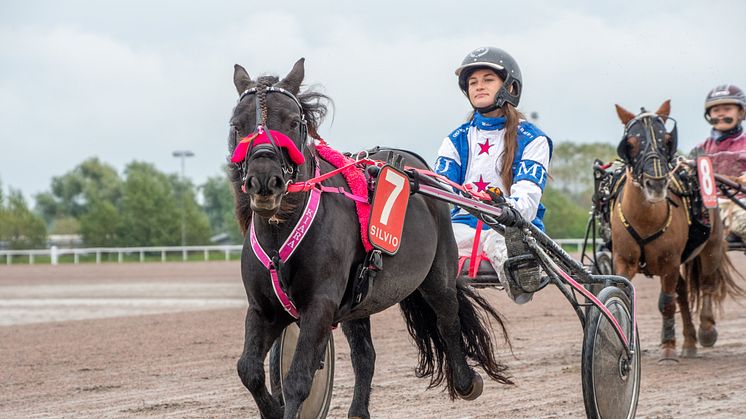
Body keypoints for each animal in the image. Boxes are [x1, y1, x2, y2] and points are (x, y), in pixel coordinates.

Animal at [231, 57, 512, 418]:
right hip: (357, 304)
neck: (281, 236)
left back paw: (466, 381)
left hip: (439, 273)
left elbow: (297, 380)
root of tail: (417, 168)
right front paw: (272, 408)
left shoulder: (320, 305)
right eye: (237, 125)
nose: (264, 180)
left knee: (448, 319)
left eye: (293, 122)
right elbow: (249, 370)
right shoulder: (264, 309)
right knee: (365, 356)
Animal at [608, 100, 740, 362]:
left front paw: (668, 347)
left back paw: (705, 331)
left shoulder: (669, 261)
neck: (646, 219)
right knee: (683, 292)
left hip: (711, 247)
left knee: (706, 284)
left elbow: (666, 303)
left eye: (668, 140)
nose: (656, 184)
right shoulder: (623, 260)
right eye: (630, 144)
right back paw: (689, 342)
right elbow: (627, 293)